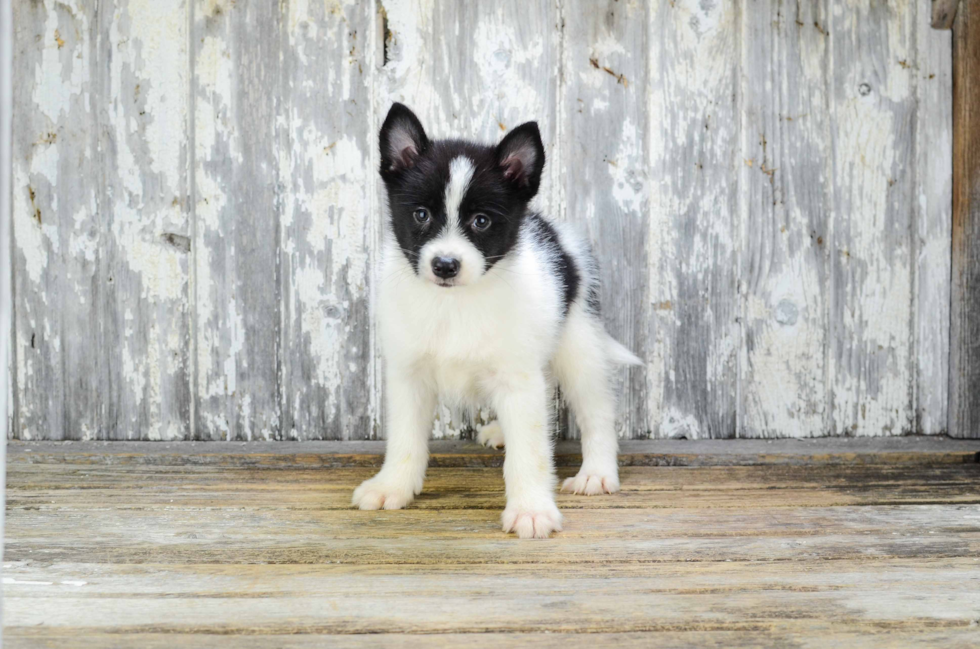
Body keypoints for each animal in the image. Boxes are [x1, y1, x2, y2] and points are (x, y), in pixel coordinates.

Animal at [354, 101, 644, 536]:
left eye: (481, 221)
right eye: (420, 215)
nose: (445, 265)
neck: (455, 303)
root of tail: (556, 234)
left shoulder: (518, 378)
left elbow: (531, 451)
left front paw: (531, 509)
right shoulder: (409, 374)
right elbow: (405, 439)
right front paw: (392, 486)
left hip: (579, 343)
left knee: (596, 412)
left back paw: (597, 472)